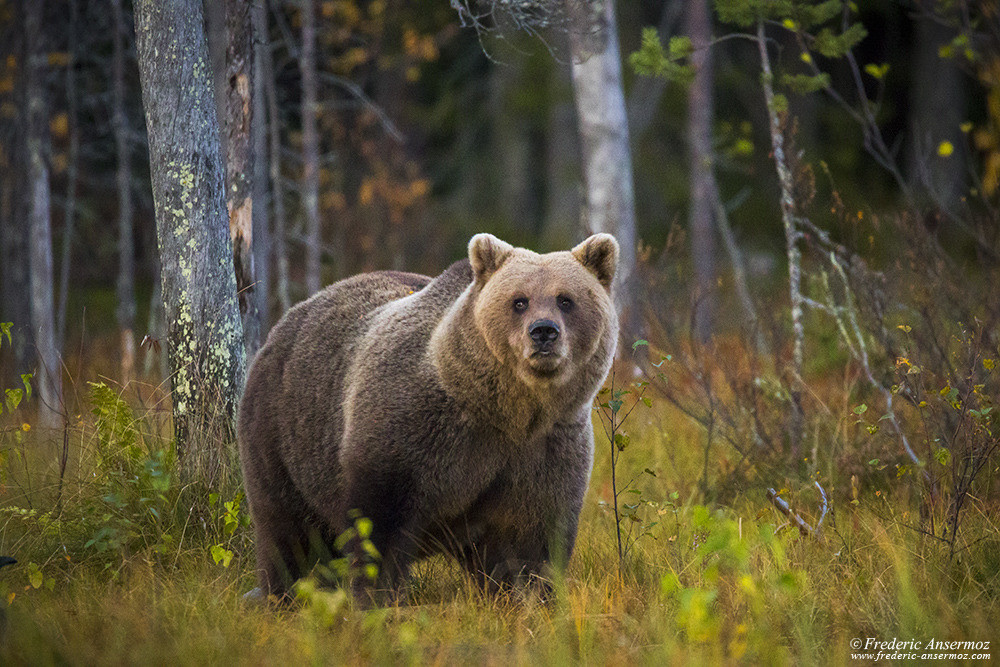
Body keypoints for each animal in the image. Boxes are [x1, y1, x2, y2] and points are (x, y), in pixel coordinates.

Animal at [238, 234, 620, 600]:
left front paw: (530, 597)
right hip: (285, 433)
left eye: (565, 299)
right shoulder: (412, 433)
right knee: (290, 533)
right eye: (519, 300)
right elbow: (379, 524)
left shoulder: (544, 447)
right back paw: (280, 594)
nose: (543, 331)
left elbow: (531, 541)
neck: (503, 409)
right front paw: (376, 598)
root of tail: (290, 317)